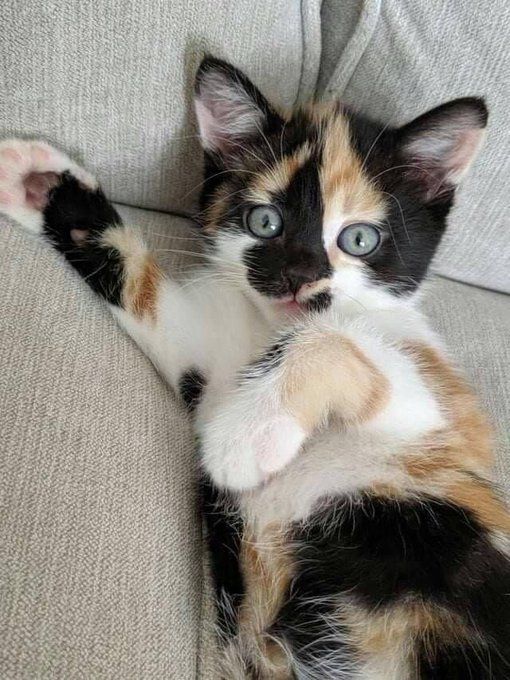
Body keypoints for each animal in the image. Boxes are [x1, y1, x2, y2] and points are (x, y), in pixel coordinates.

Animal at [0, 55, 510, 676]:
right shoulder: (203, 354)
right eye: (264, 222)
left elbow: (331, 336)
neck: (268, 332)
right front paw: (41, 185)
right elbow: (144, 292)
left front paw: (242, 438)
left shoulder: (446, 412)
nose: (298, 276)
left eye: (360, 239)